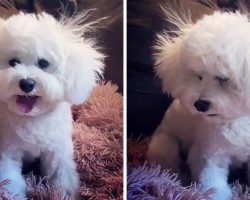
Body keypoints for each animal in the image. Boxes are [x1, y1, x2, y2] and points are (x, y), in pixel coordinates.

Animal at [0, 10, 104, 197]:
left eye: (43, 63)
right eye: (13, 62)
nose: (26, 84)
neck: (32, 118)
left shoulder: (57, 151)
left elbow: (62, 177)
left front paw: (67, 194)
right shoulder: (7, 150)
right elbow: (9, 181)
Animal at [146, 10, 250, 200]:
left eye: (223, 79)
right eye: (199, 76)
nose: (200, 105)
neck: (233, 120)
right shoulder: (210, 153)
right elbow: (212, 180)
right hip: (165, 146)